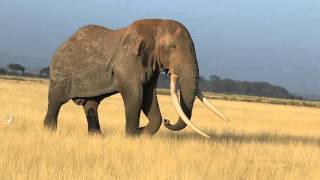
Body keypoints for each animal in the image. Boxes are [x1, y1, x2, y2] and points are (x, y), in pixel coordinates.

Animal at [43, 19, 228, 138]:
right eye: (173, 47)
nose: (168, 120)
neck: (155, 26)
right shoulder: (128, 62)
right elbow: (135, 96)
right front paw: (131, 136)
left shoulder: (151, 63)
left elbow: (148, 96)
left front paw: (140, 133)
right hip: (60, 72)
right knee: (55, 102)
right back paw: (49, 133)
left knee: (91, 105)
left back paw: (96, 137)